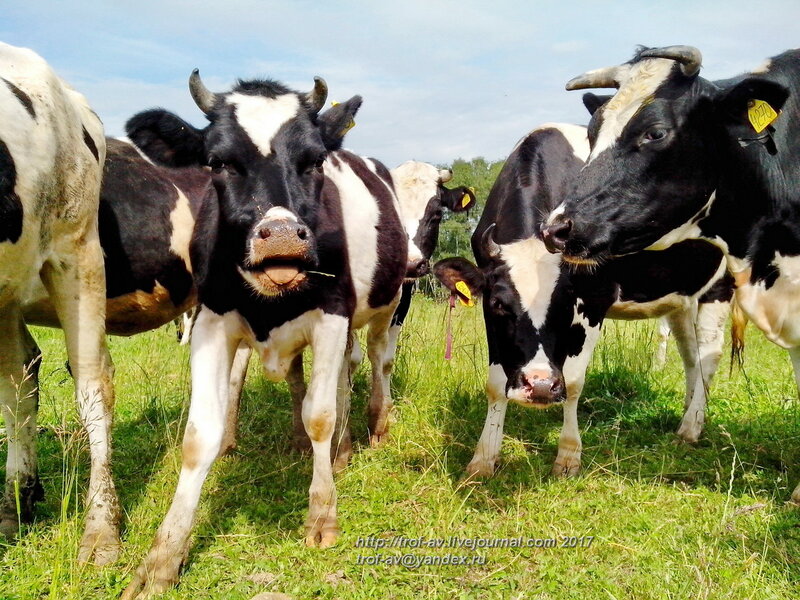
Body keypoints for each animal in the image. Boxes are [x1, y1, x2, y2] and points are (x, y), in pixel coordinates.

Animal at [121, 70, 410, 596]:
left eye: (314, 160)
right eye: (218, 161)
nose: (279, 236)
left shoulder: (333, 315)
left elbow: (320, 415)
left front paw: (322, 516)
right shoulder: (210, 323)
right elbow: (200, 436)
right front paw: (162, 559)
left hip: (386, 303)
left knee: (377, 362)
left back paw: (373, 426)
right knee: (335, 378)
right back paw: (339, 449)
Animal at [432, 124, 732, 480]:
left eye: (563, 304)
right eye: (500, 305)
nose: (541, 386)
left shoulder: (592, 302)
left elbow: (574, 382)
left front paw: (568, 456)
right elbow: (495, 383)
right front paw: (483, 459)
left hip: (722, 285)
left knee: (710, 355)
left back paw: (692, 426)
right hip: (682, 298)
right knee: (691, 357)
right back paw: (688, 413)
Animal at [540, 45, 800, 502]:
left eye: (656, 133)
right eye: (591, 134)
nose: (557, 228)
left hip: (714, 292)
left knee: (708, 354)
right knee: (693, 357)